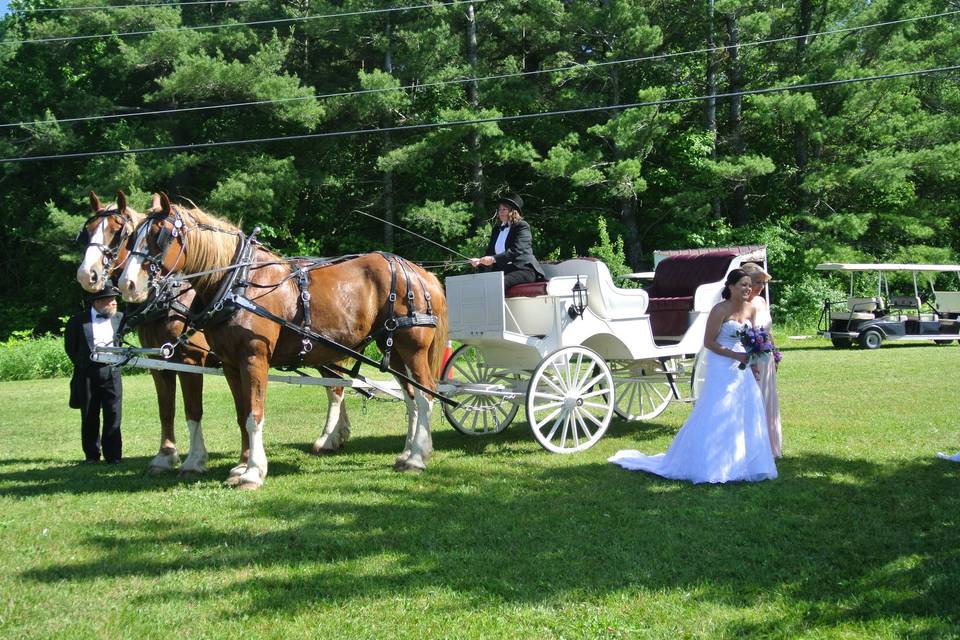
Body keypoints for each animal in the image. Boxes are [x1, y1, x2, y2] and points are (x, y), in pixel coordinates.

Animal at [119, 192, 446, 488]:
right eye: (132, 237)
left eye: (160, 235)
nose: (127, 284)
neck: (238, 284)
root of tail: (420, 272)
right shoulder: (229, 363)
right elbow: (240, 413)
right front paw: (240, 467)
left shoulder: (250, 358)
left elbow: (253, 414)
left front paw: (252, 472)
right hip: (393, 350)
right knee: (410, 397)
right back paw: (406, 454)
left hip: (412, 347)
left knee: (425, 394)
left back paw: (417, 457)